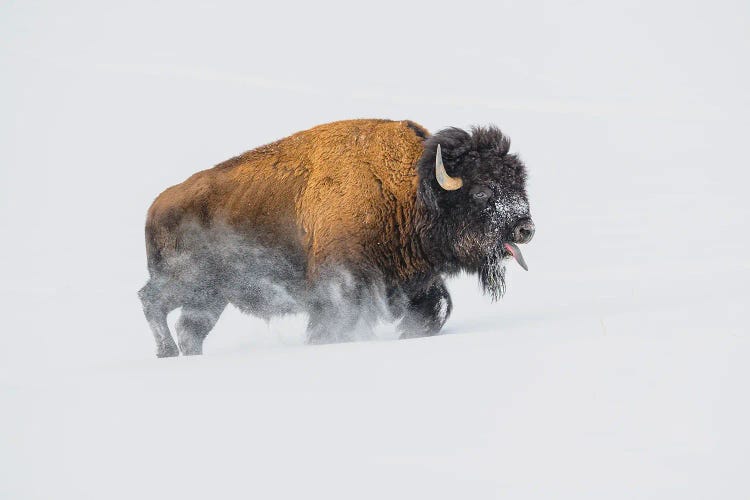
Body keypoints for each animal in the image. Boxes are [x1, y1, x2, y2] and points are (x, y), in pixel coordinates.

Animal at [137, 118, 536, 356]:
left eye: (518, 183)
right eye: (482, 191)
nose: (525, 228)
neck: (410, 190)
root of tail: (156, 206)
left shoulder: (415, 283)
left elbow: (431, 312)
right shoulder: (341, 286)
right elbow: (333, 324)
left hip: (210, 298)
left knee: (190, 329)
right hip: (188, 282)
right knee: (150, 300)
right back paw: (166, 352)